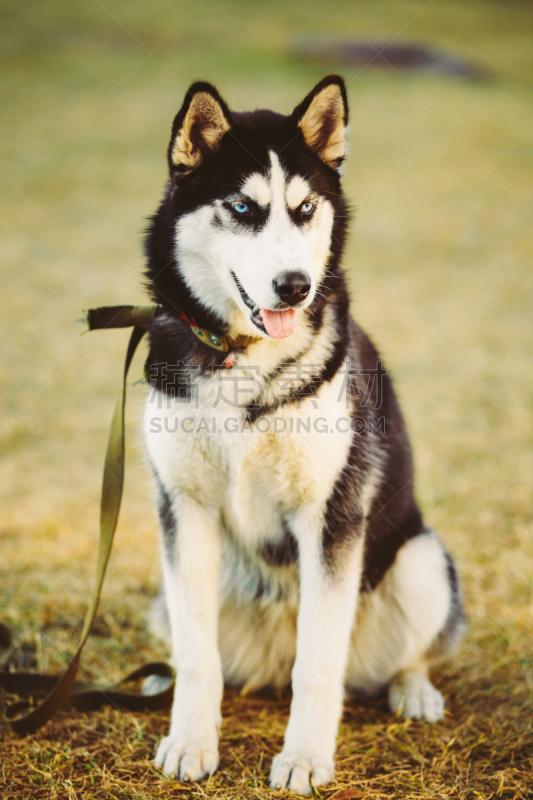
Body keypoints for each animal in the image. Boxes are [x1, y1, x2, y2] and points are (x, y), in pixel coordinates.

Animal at [143, 76, 464, 792]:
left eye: (306, 207)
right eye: (242, 207)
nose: (295, 285)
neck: (241, 360)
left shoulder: (331, 515)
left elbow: (318, 665)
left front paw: (306, 759)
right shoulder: (184, 509)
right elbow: (199, 656)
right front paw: (191, 741)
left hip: (421, 561)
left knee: (399, 655)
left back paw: (414, 691)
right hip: (166, 600)